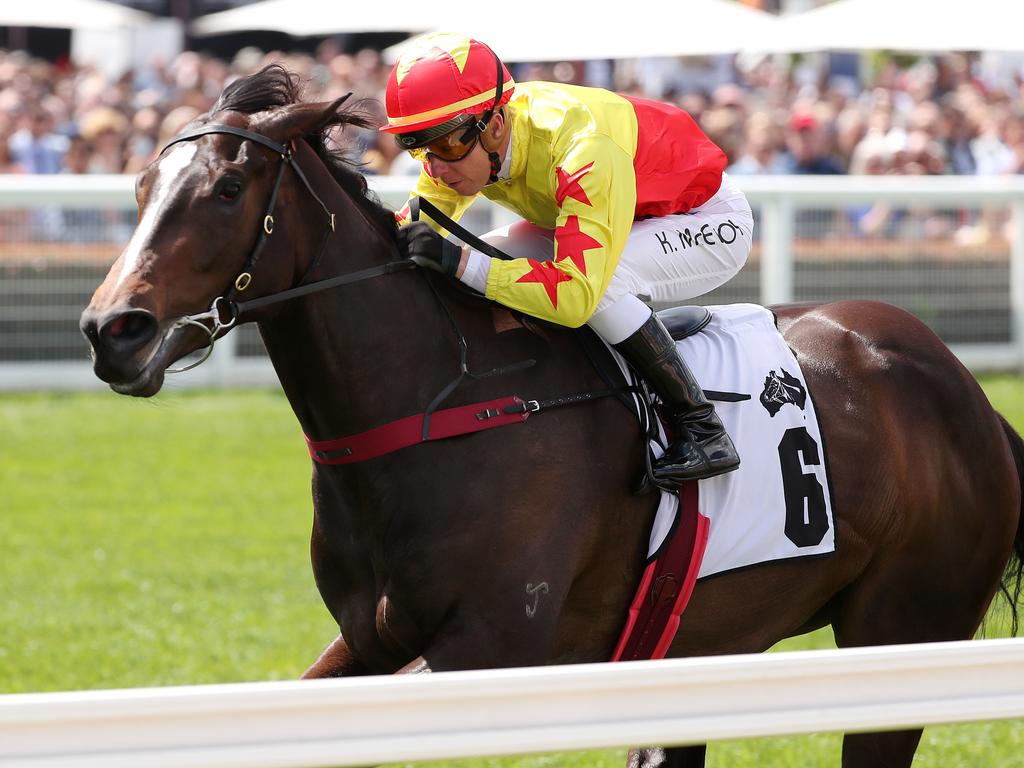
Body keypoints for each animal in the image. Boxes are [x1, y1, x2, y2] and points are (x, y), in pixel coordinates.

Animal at [79, 67, 1024, 768]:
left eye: (229, 186)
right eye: (139, 186)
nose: (113, 331)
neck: (443, 402)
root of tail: (968, 393)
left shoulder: (497, 649)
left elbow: (581, 282)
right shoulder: (368, 643)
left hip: (903, 628)